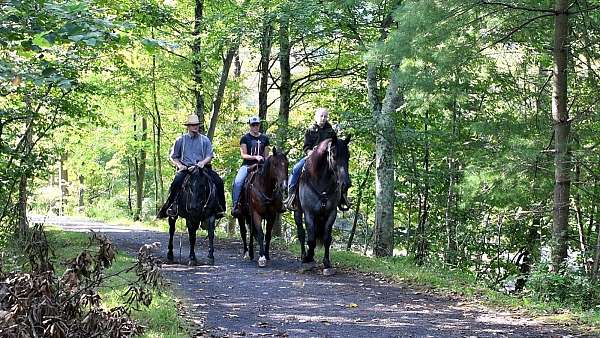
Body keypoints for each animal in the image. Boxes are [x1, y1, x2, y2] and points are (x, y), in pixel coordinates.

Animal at [292, 136, 350, 276]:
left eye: (348, 156)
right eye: (334, 155)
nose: (346, 184)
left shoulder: (331, 213)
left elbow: (327, 238)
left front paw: (327, 263)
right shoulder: (309, 214)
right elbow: (311, 239)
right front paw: (308, 258)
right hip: (298, 212)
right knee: (301, 233)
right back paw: (304, 256)